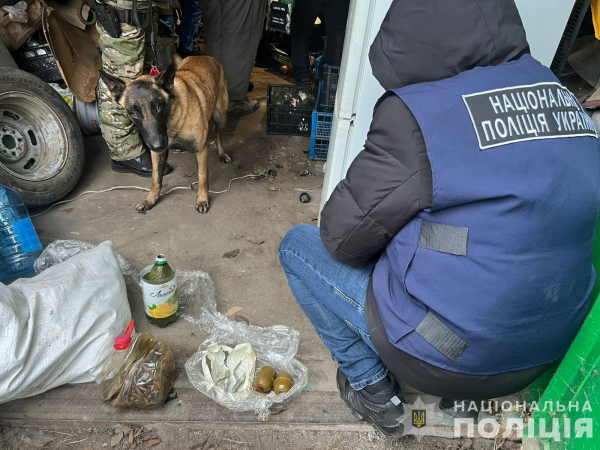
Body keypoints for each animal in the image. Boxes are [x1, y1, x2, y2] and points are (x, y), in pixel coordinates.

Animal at [99, 54, 231, 213]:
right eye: (134, 114)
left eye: (158, 107)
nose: (157, 145)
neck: (170, 121)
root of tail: (203, 55)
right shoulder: (158, 154)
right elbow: (156, 179)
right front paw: (151, 199)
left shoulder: (200, 150)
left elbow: (202, 178)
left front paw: (202, 199)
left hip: (221, 116)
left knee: (217, 134)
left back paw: (222, 153)